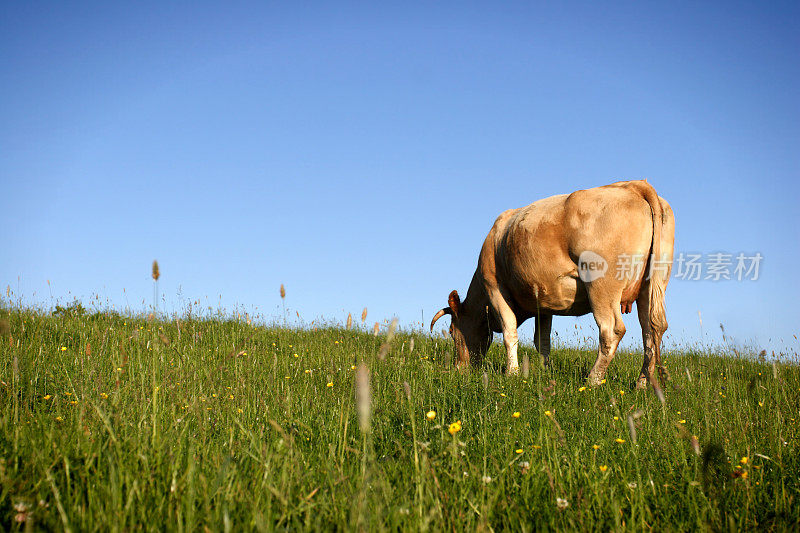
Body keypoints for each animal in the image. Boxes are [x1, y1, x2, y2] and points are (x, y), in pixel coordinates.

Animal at [432, 181, 676, 388]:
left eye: (452, 331)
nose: (460, 369)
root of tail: (634, 185)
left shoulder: (494, 287)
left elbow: (510, 332)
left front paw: (512, 373)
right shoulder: (544, 301)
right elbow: (542, 340)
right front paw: (545, 372)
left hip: (602, 284)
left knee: (612, 330)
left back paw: (592, 380)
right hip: (652, 285)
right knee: (651, 331)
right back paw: (642, 383)